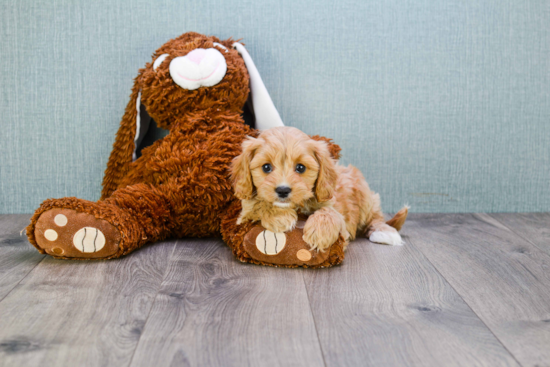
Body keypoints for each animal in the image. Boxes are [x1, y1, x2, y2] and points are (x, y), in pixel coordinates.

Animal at [231, 127, 408, 253]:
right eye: (266, 167)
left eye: (300, 168)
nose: (283, 190)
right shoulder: (245, 210)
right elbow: (257, 204)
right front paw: (280, 216)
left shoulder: (335, 208)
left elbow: (330, 213)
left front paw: (320, 232)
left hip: (366, 200)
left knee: (375, 218)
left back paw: (386, 233)